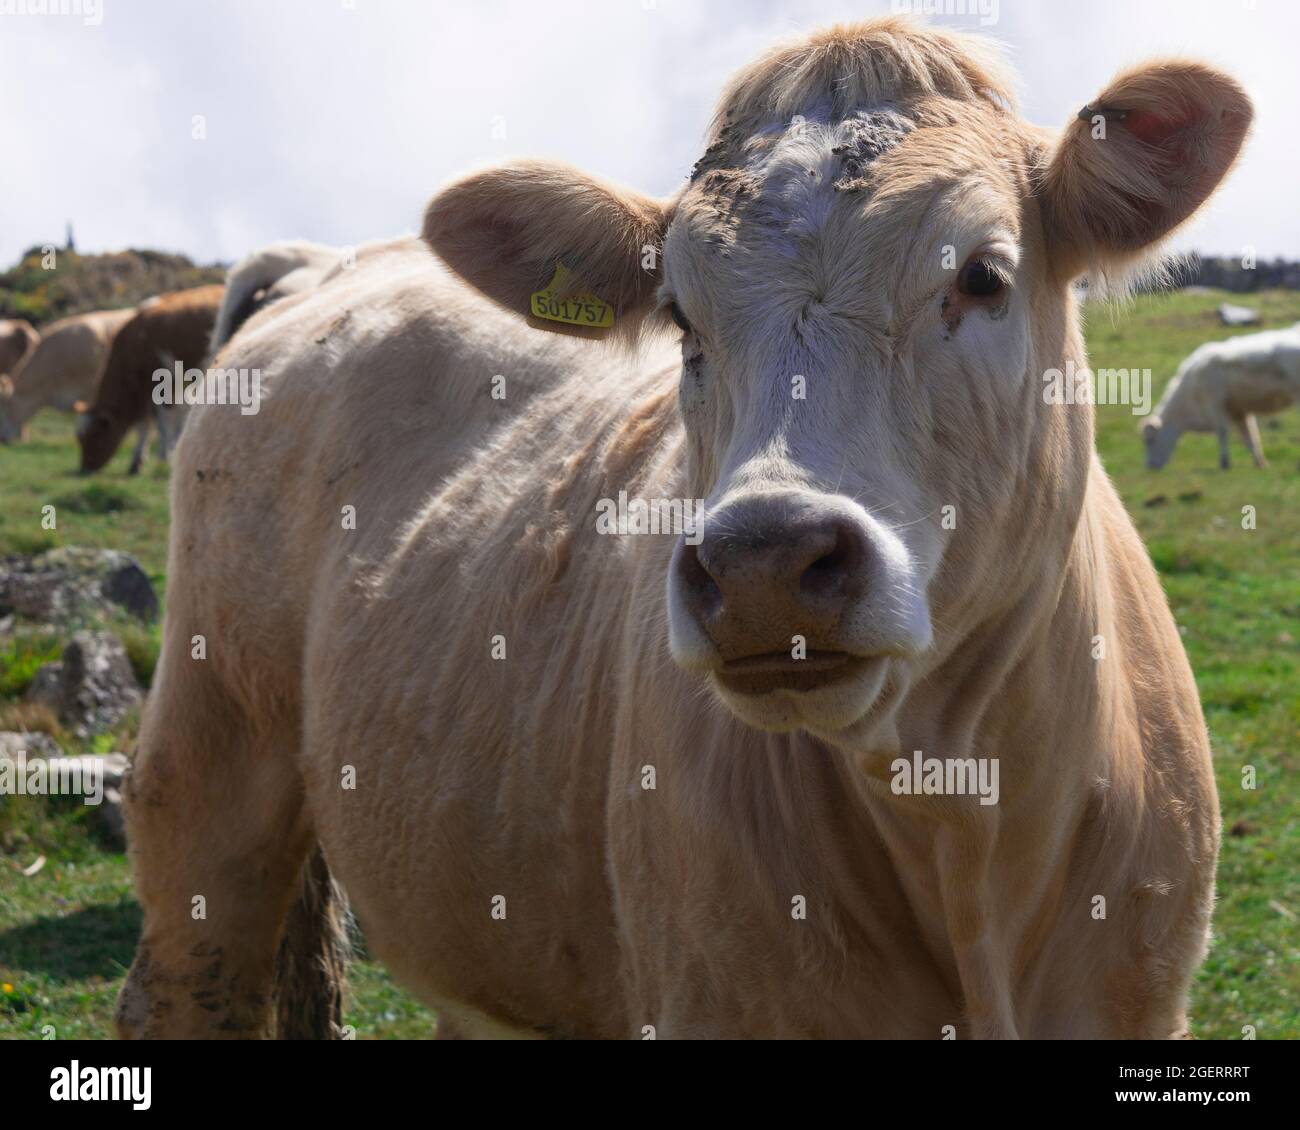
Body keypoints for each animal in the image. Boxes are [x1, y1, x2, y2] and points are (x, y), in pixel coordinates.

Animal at [78, 285, 223, 475]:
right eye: (79, 439)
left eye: (94, 436)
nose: (84, 469)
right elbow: (149, 422)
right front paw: (140, 460)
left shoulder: (160, 383)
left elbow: (161, 421)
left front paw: (163, 456)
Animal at [1143, 324, 1300, 469]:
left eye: (1150, 440)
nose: (1149, 466)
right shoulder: (1239, 411)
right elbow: (1250, 436)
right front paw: (1260, 463)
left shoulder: (1215, 405)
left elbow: (1223, 431)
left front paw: (1225, 463)